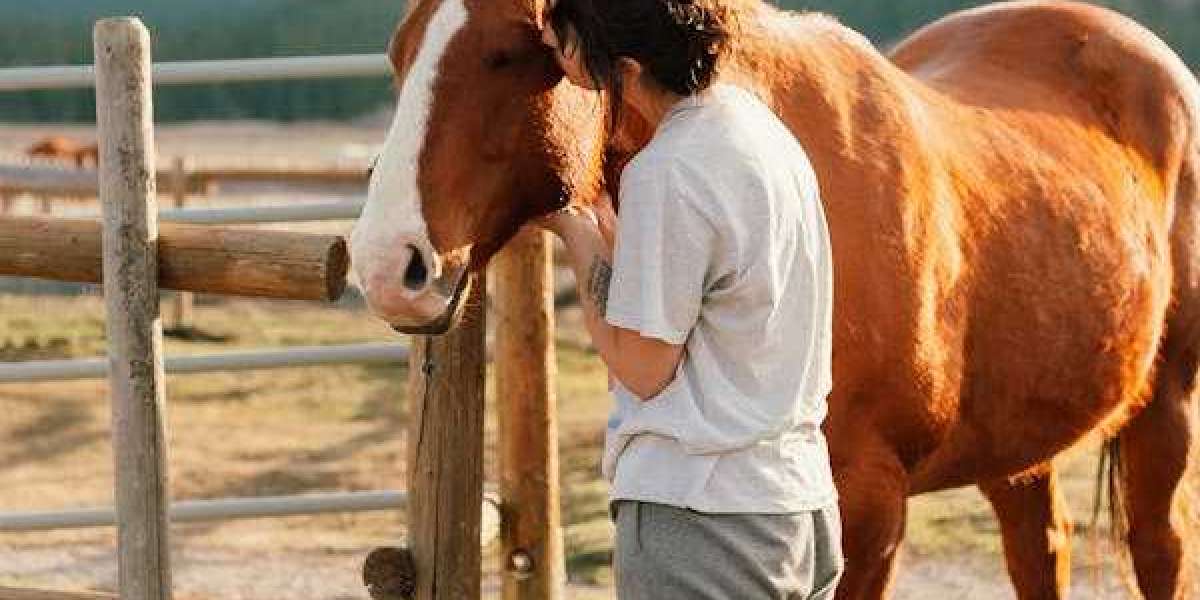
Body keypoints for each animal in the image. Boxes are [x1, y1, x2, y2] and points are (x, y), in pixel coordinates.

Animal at [350, 2, 1200, 597]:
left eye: (506, 54)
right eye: (398, 54)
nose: (389, 264)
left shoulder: (869, 508)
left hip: (1165, 406)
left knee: (1159, 550)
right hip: (1020, 441)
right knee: (1040, 550)